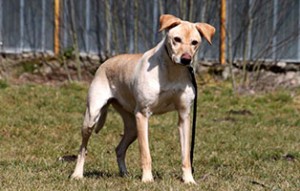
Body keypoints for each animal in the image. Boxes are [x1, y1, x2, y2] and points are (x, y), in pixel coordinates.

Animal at [71, 14, 214, 184]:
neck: (172, 70)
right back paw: (77, 174)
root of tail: (104, 63)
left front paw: (189, 180)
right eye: (176, 39)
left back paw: (124, 174)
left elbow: (186, 155)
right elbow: (145, 153)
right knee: (83, 148)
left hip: (132, 127)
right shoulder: (143, 114)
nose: (186, 59)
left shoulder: (184, 115)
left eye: (195, 42)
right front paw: (147, 179)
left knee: (119, 149)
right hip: (92, 117)